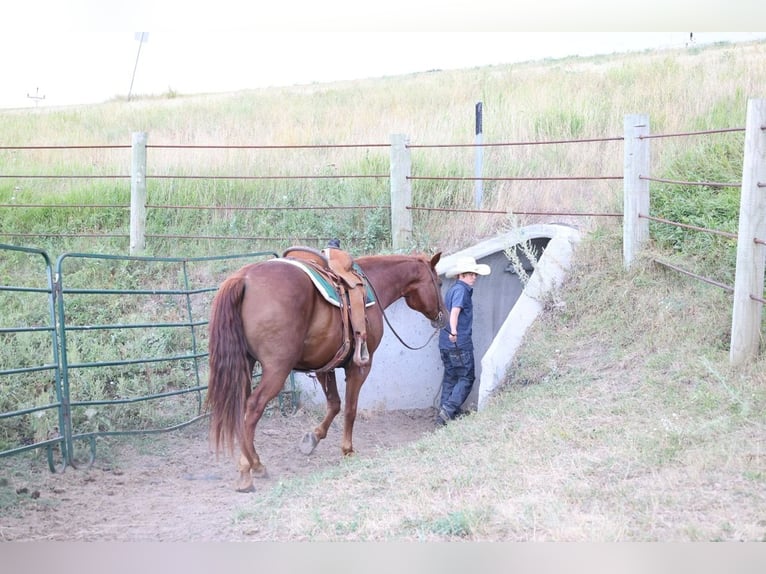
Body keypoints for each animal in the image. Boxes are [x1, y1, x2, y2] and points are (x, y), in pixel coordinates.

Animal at [205, 250, 446, 492]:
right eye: (439, 283)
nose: (442, 316)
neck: (372, 284)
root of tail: (244, 278)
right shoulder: (360, 366)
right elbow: (350, 409)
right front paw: (347, 449)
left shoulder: (325, 365)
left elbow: (335, 404)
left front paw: (312, 438)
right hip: (277, 369)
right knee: (253, 407)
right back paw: (248, 469)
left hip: (246, 364)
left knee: (241, 408)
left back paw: (254, 462)